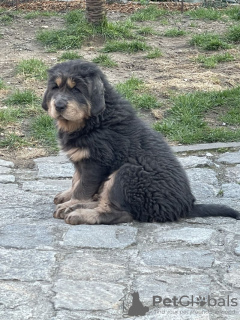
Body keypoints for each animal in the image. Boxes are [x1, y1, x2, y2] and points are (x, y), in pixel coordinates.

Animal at [41, 60, 240, 225]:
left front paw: (71, 202)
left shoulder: (96, 161)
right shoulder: (82, 160)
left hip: (130, 174)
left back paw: (77, 212)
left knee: (118, 213)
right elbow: (76, 179)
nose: (59, 106)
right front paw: (68, 197)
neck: (95, 120)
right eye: (55, 88)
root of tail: (185, 207)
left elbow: (82, 187)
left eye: (77, 90)